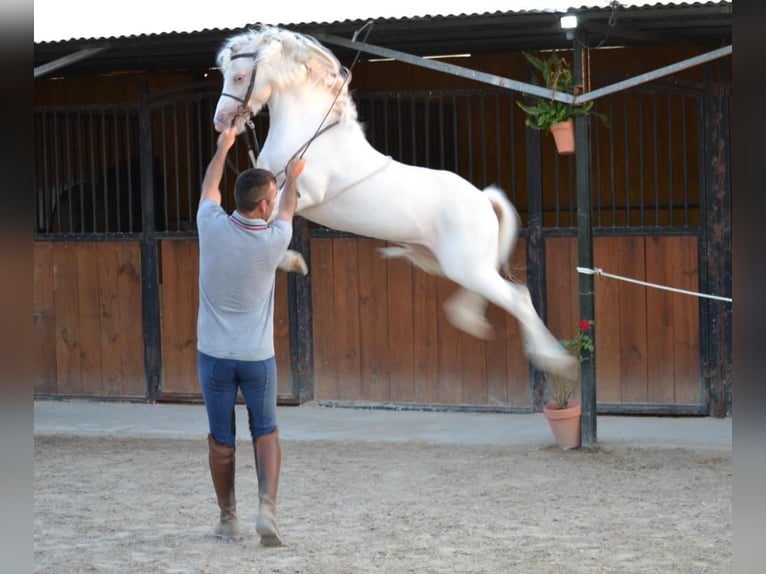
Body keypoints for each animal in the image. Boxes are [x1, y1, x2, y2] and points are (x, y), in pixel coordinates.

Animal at [213, 24, 580, 382]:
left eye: (239, 77)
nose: (222, 121)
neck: (310, 136)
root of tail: (484, 199)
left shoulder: (302, 194)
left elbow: (264, 229)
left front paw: (293, 262)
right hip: (452, 264)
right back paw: (474, 321)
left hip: (468, 266)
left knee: (519, 299)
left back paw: (557, 361)